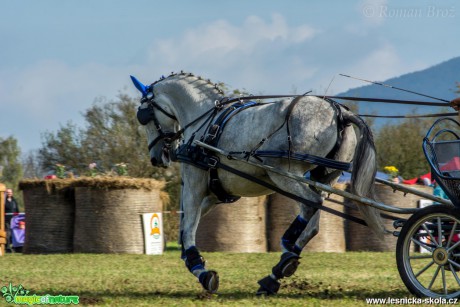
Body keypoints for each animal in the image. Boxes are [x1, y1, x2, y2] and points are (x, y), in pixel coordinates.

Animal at [130, 72, 384, 296]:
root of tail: (339, 113)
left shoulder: (195, 184)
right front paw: (187, 256)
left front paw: (200, 269)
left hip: (286, 174)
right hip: (323, 177)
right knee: (313, 220)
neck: (206, 121)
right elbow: (185, 226)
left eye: (144, 116)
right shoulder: (215, 194)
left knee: (310, 203)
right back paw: (277, 272)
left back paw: (287, 246)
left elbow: (190, 225)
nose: (157, 157)